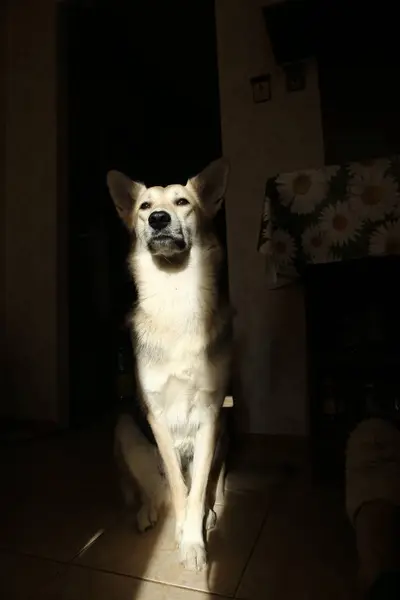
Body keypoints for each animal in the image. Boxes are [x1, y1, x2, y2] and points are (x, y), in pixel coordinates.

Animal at [107, 159, 231, 572]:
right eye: (144, 206)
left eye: (182, 202)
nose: (158, 219)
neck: (175, 297)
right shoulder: (156, 417)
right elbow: (179, 488)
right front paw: (182, 533)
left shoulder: (210, 415)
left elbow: (197, 488)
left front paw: (194, 540)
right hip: (126, 429)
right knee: (155, 490)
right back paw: (148, 512)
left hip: (224, 430)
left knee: (206, 485)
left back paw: (209, 512)